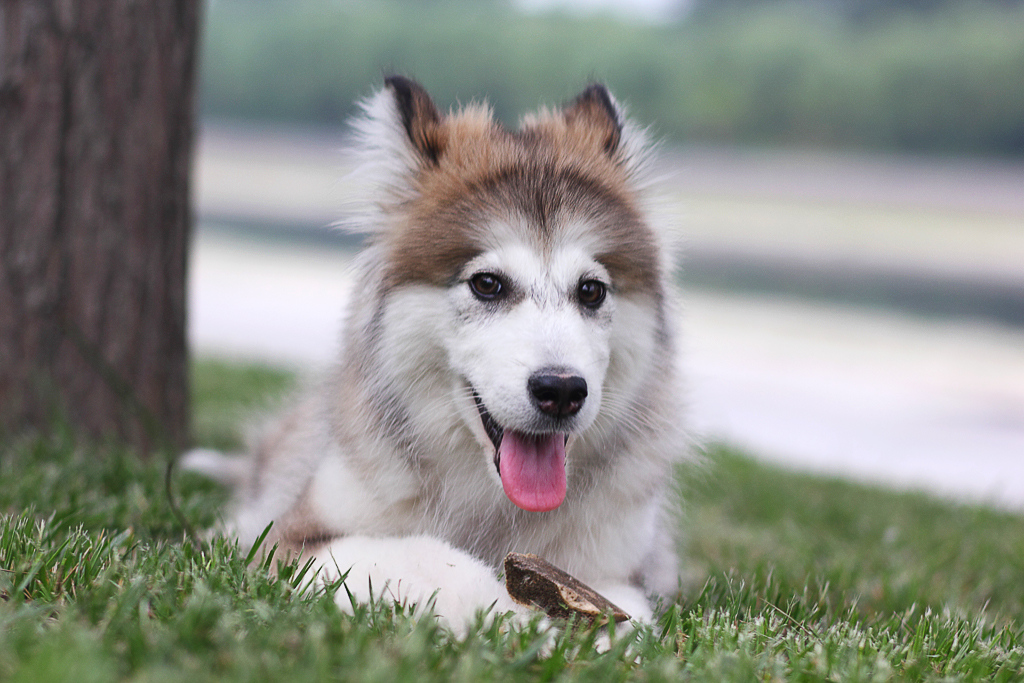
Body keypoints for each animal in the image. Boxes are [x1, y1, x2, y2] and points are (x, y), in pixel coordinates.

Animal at [192, 76, 688, 634]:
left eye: (591, 291)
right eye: (487, 284)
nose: (561, 390)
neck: (491, 503)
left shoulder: (628, 565)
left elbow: (625, 611)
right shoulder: (284, 541)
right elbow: (432, 557)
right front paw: (517, 620)